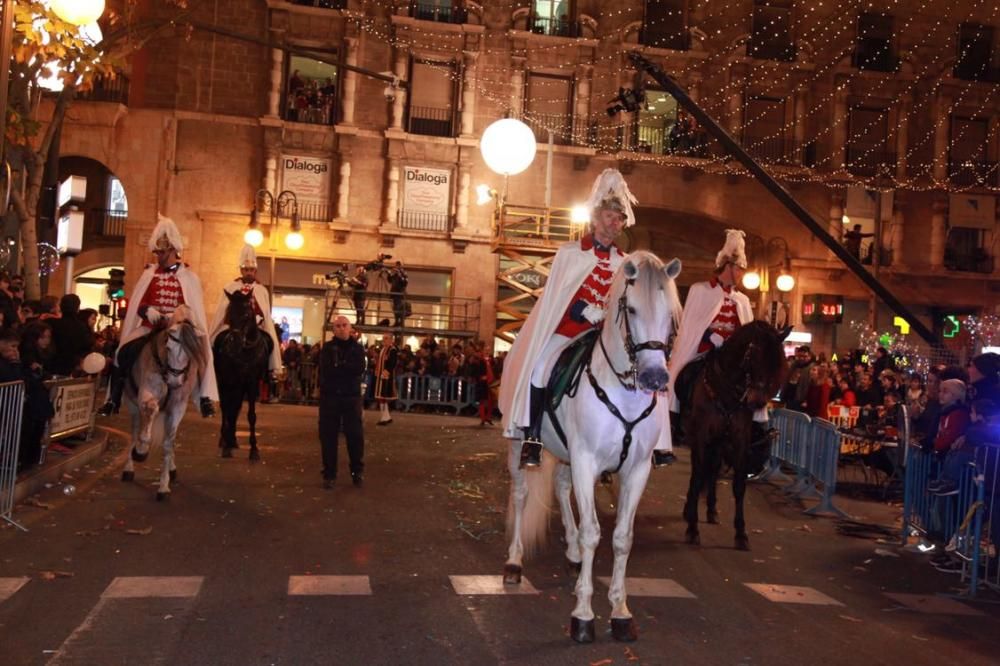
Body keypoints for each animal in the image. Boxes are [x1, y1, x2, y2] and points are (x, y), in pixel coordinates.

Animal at [121, 302, 207, 498]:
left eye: (190, 352)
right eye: (168, 347)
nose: (175, 381)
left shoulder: (177, 407)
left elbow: (169, 443)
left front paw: (163, 486)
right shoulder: (145, 397)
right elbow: (146, 427)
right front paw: (141, 452)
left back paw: (172, 469)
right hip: (132, 405)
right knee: (135, 431)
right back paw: (129, 467)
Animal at [213, 290, 272, 462]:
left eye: (246, 314)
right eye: (229, 313)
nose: (235, 342)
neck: (245, 352)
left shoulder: (251, 383)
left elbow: (250, 415)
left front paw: (254, 449)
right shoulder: (230, 380)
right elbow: (229, 409)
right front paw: (226, 446)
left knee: (236, 407)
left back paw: (232, 439)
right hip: (224, 382)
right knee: (226, 408)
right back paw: (224, 439)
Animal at [504, 250, 684, 644]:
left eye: (671, 312)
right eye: (631, 309)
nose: (655, 378)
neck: (623, 392)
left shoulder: (636, 470)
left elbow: (622, 538)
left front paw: (620, 612)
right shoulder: (586, 461)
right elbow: (592, 534)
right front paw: (583, 615)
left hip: (566, 455)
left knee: (561, 488)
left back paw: (570, 553)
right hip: (518, 444)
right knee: (522, 495)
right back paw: (513, 561)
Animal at [680, 320, 788, 548]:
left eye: (776, 363)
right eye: (753, 356)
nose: (757, 402)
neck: (725, 392)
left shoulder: (740, 439)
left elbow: (739, 484)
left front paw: (741, 533)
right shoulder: (700, 436)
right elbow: (697, 477)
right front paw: (692, 528)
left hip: (720, 442)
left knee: (712, 471)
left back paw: (711, 510)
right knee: (701, 472)